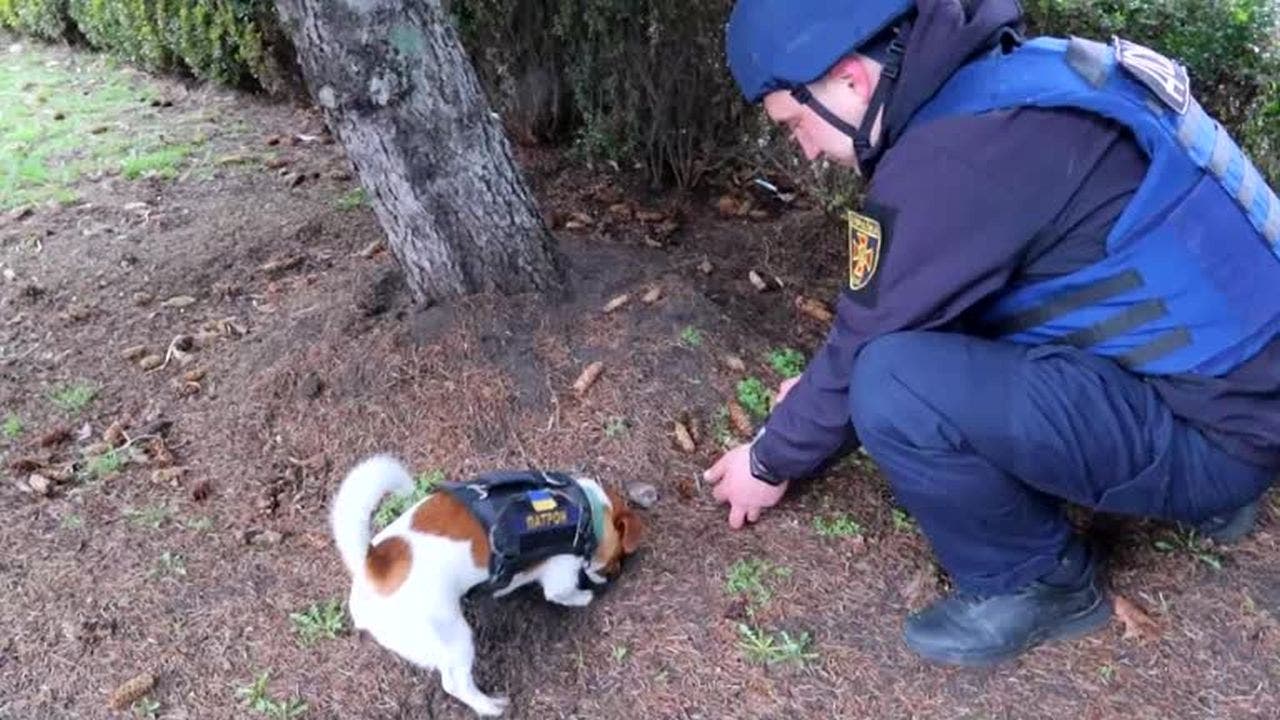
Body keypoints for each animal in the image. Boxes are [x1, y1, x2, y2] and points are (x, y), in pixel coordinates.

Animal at [332, 453, 650, 712]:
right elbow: (563, 593)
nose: (616, 573)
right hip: (454, 637)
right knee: (455, 682)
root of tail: (373, 564)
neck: (588, 510)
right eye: (617, 557)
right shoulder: (560, 574)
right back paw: (489, 706)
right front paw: (584, 597)